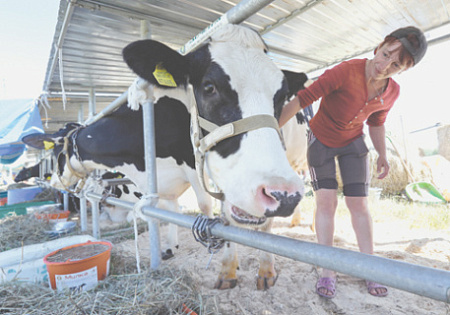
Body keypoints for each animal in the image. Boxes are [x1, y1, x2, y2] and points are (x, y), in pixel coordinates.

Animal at [23, 24, 306, 292]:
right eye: (209, 87)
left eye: (282, 96)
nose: (54, 182)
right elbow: (168, 211)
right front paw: (182, 253)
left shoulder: (198, 168)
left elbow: (212, 209)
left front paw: (260, 271)